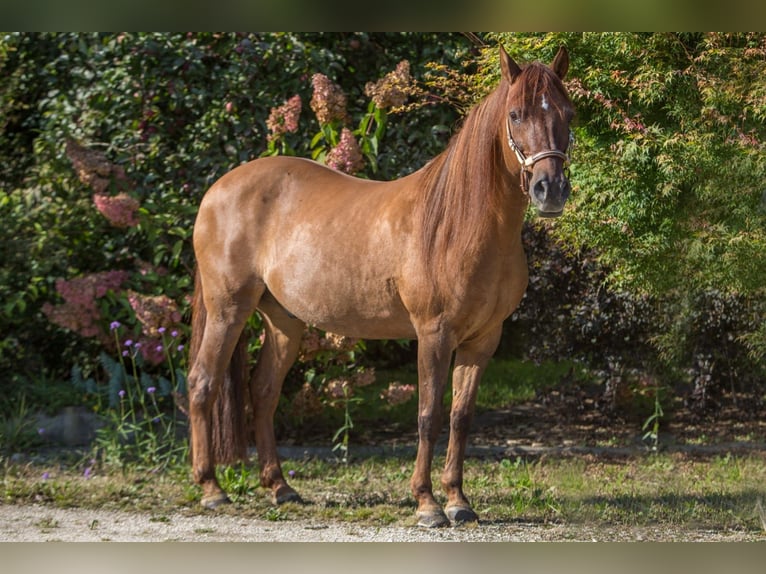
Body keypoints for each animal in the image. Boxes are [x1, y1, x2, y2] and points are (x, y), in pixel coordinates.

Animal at [186, 46, 572, 532]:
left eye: (569, 113)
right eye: (516, 114)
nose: (550, 189)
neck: (458, 224)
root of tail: (217, 190)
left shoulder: (483, 340)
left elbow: (461, 417)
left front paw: (458, 501)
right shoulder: (433, 334)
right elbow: (428, 414)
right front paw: (427, 504)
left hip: (283, 320)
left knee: (264, 391)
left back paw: (280, 487)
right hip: (228, 309)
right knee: (203, 382)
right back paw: (211, 489)